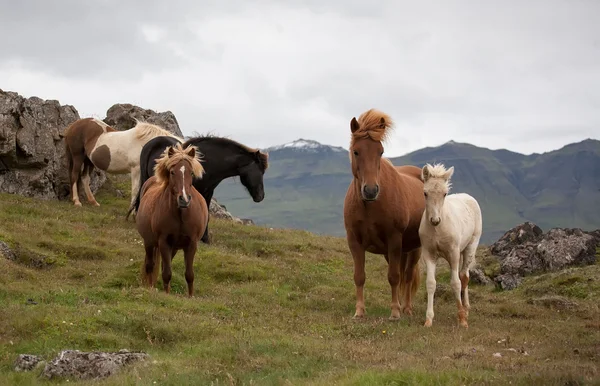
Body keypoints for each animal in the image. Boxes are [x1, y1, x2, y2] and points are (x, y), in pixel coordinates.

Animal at [127, 134, 270, 244]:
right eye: (260, 171)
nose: (261, 196)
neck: (209, 163)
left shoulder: (207, 192)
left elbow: (206, 214)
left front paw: (205, 239)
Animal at [135, 142, 209, 296]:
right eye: (172, 172)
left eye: (191, 173)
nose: (184, 199)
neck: (181, 215)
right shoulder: (163, 242)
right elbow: (166, 274)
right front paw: (167, 295)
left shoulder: (191, 243)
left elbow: (189, 275)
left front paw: (190, 296)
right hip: (149, 243)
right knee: (150, 266)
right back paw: (150, 287)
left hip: (173, 248)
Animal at [342, 108, 426, 320]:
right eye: (356, 151)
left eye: (380, 152)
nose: (371, 190)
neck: (370, 206)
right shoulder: (354, 241)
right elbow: (359, 276)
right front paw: (359, 311)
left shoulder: (394, 239)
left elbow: (394, 277)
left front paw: (395, 312)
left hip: (413, 248)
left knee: (407, 275)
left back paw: (406, 308)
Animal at [420, 163, 486, 328]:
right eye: (425, 193)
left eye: (444, 194)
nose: (435, 220)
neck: (438, 230)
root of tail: (468, 196)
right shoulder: (429, 254)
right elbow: (431, 283)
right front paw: (428, 319)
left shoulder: (453, 253)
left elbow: (456, 283)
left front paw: (462, 319)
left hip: (470, 247)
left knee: (464, 276)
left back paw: (466, 309)